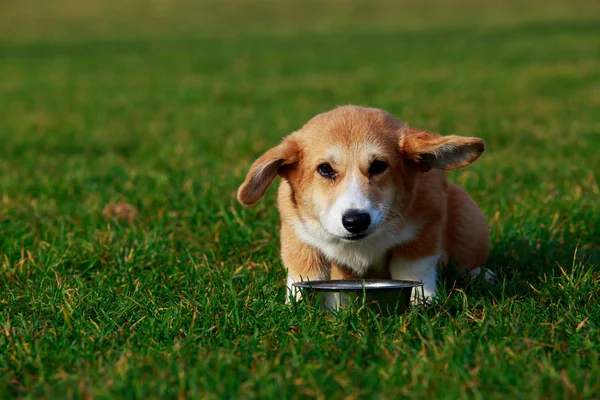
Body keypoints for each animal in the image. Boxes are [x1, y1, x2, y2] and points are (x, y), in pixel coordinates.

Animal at [237, 104, 490, 302]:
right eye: (325, 169)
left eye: (378, 166)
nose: (355, 221)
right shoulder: (298, 234)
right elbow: (305, 271)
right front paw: (297, 304)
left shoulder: (425, 227)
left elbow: (413, 269)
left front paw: (423, 301)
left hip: (470, 223)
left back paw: (481, 275)